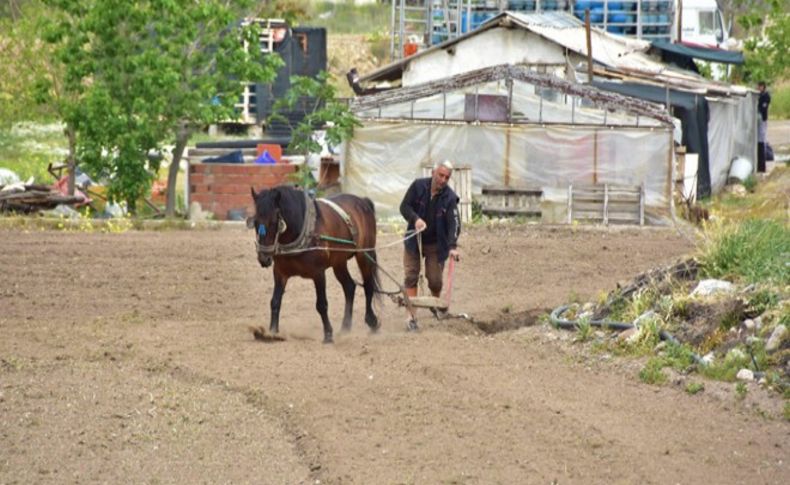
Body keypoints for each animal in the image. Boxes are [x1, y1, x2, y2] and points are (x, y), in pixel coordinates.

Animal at [249, 183, 382, 342]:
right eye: (255, 222)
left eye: (275, 222)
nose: (264, 257)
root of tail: (363, 201)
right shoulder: (280, 272)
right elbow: (275, 301)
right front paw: (272, 332)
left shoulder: (318, 273)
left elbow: (321, 304)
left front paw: (328, 334)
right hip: (339, 262)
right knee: (349, 286)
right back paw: (345, 327)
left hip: (365, 255)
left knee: (368, 286)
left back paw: (371, 321)